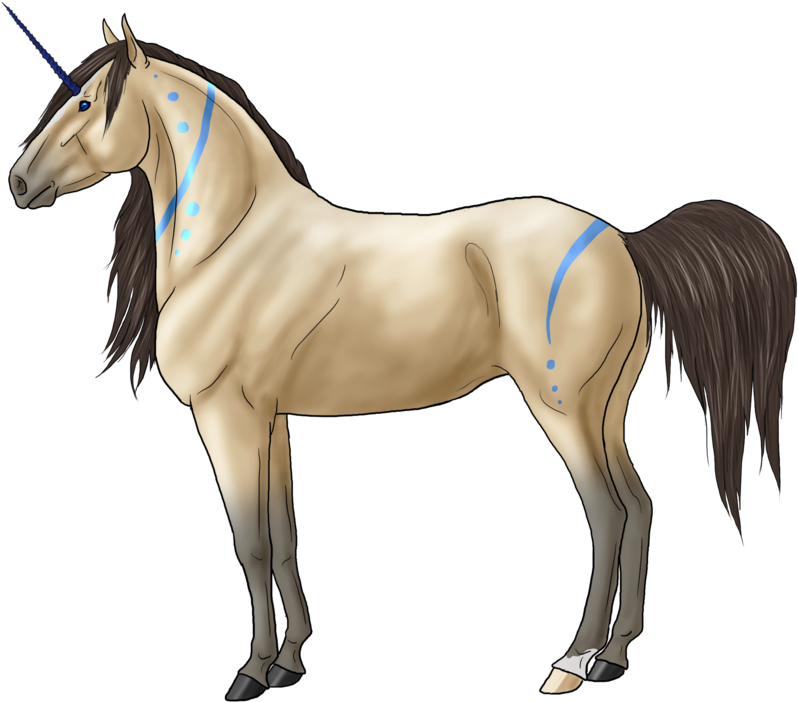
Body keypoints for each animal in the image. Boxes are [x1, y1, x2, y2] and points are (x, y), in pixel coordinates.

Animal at [7, 8, 795, 697]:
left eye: (84, 102)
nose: (17, 182)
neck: (236, 243)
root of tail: (620, 240)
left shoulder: (226, 418)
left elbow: (250, 543)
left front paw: (250, 674)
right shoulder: (271, 421)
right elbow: (285, 536)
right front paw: (290, 662)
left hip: (564, 411)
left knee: (606, 514)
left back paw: (571, 663)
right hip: (605, 411)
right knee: (640, 506)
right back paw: (614, 658)